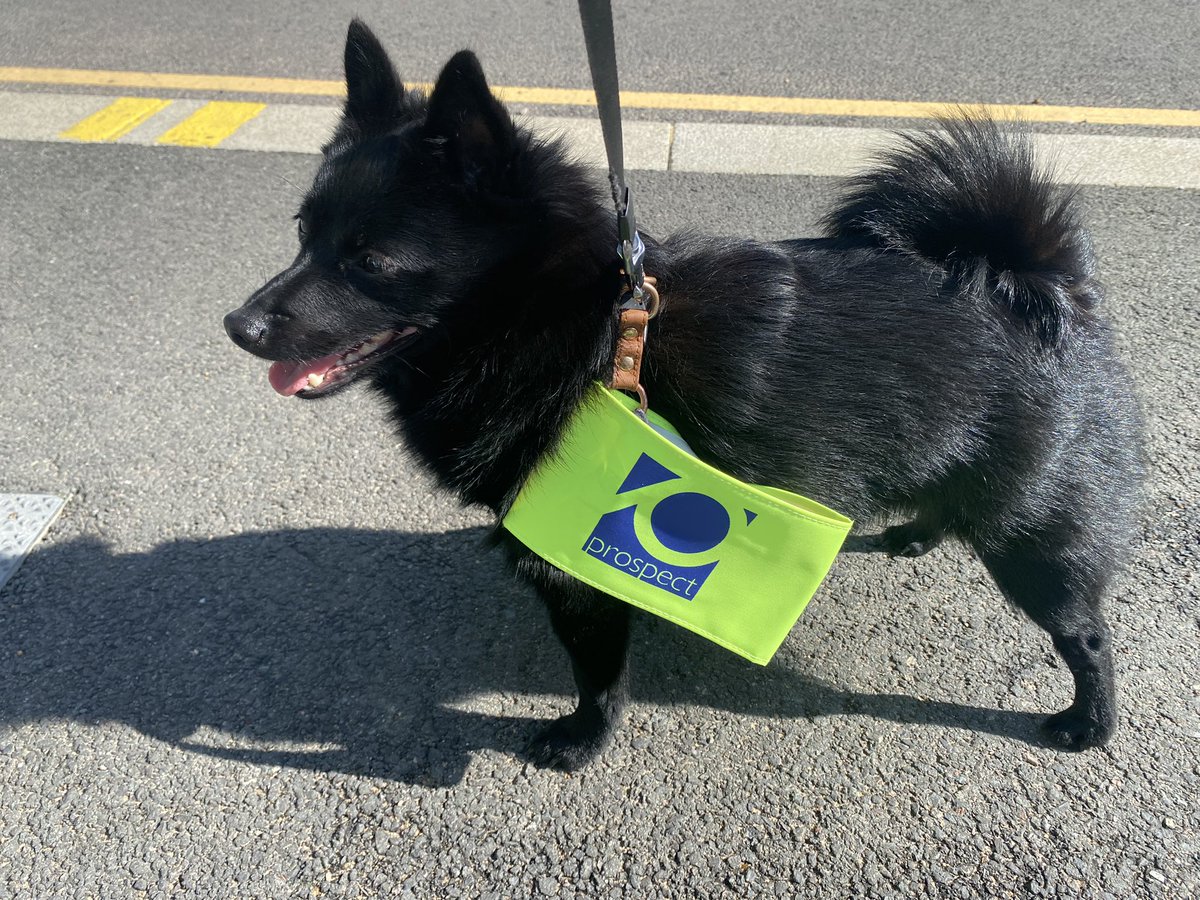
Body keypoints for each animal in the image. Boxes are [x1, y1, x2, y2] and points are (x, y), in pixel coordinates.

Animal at [225, 21, 1142, 768]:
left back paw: (1089, 723)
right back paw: (918, 530)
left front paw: (583, 739)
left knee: (1088, 634)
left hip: (1034, 537)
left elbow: (596, 669)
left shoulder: (574, 559)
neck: (579, 324)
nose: (239, 325)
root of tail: (1038, 278)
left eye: (370, 261)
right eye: (303, 234)